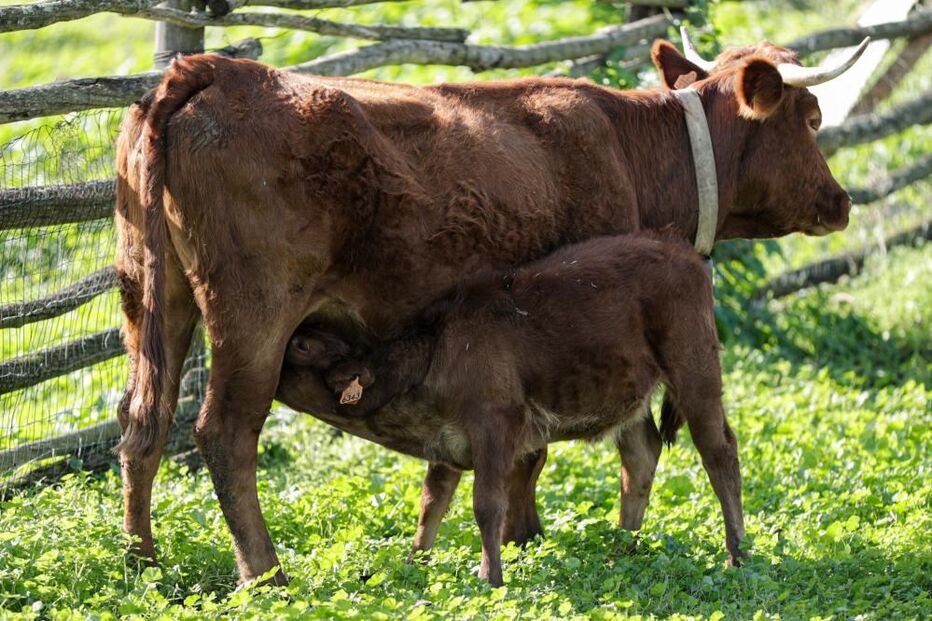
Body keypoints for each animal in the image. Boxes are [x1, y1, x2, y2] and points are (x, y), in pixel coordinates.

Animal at [274, 233, 736, 586]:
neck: (436, 349)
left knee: (719, 450)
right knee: (641, 456)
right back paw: (620, 552)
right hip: (634, 397)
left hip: (695, 369)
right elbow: (430, 505)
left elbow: (487, 504)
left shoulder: (495, 426)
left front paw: (489, 578)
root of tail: (685, 253)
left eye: (302, 345)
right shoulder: (447, 444)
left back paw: (737, 555)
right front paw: (413, 566)